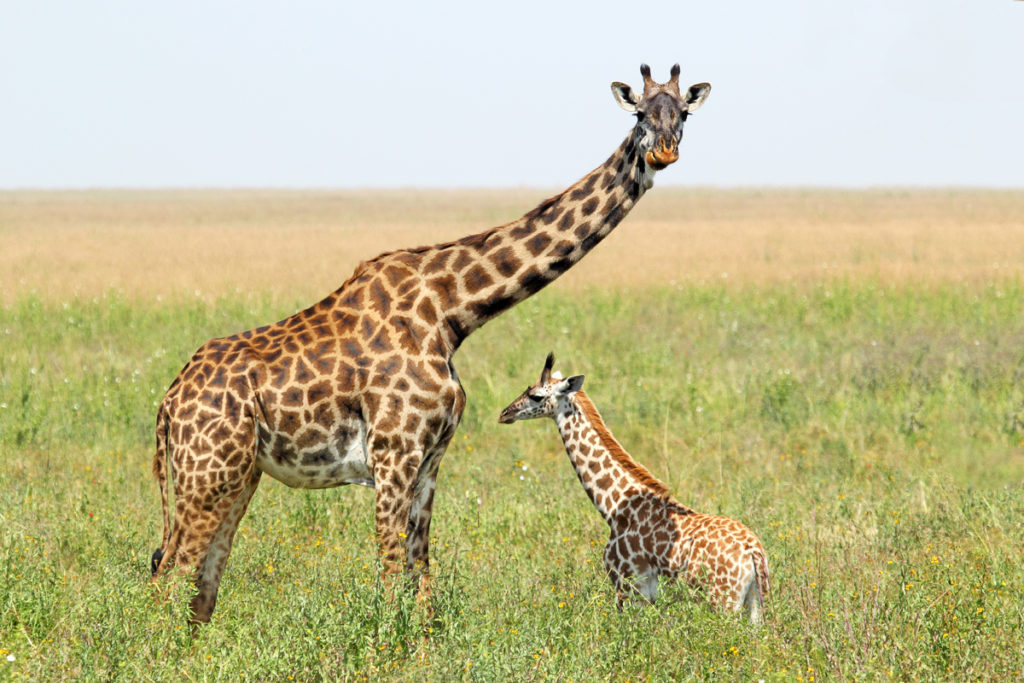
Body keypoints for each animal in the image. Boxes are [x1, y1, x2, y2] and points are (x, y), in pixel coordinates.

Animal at [151, 65, 712, 626]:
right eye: (640, 113)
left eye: (683, 113)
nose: (664, 153)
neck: (450, 313)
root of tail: (170, 401)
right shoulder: (394, 454)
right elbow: (389, 574)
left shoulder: (429, 461)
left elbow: (421, 578)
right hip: (207, 473)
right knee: (169, 573)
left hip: (236, 475)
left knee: (200, 582)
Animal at [499, 356, 770, 622]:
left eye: (536, 395)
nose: (504, 413)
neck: (613, 506)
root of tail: (754, 552)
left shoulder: (628, 585)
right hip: (755, 603)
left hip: (722, 601)